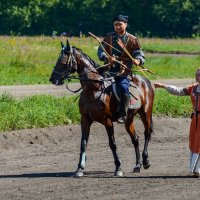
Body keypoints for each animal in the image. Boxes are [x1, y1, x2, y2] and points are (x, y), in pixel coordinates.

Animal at [49, 39, 155, 177]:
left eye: (63, 60)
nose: (53, 79)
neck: (94, 88)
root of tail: (146, 82)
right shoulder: (85, 120)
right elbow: (83, 143)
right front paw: (79, 168)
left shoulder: (107, 121)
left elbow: (112, 144)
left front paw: (118, 168)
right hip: (129, 118)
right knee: (135, 138)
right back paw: (137, 165)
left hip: (145, 112)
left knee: (147, 133)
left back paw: (146, 161)